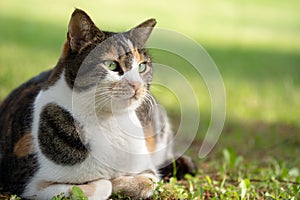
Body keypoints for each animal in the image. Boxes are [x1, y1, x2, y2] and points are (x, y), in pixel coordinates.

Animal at [0, 8, 196, 199]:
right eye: (111, 65)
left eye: (142, 66)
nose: (137, 85)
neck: (108, 122)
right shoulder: (28, 184)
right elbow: (101, 185)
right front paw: (110, 182)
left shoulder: (148, 170)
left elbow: (147, 181)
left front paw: (121, 182)